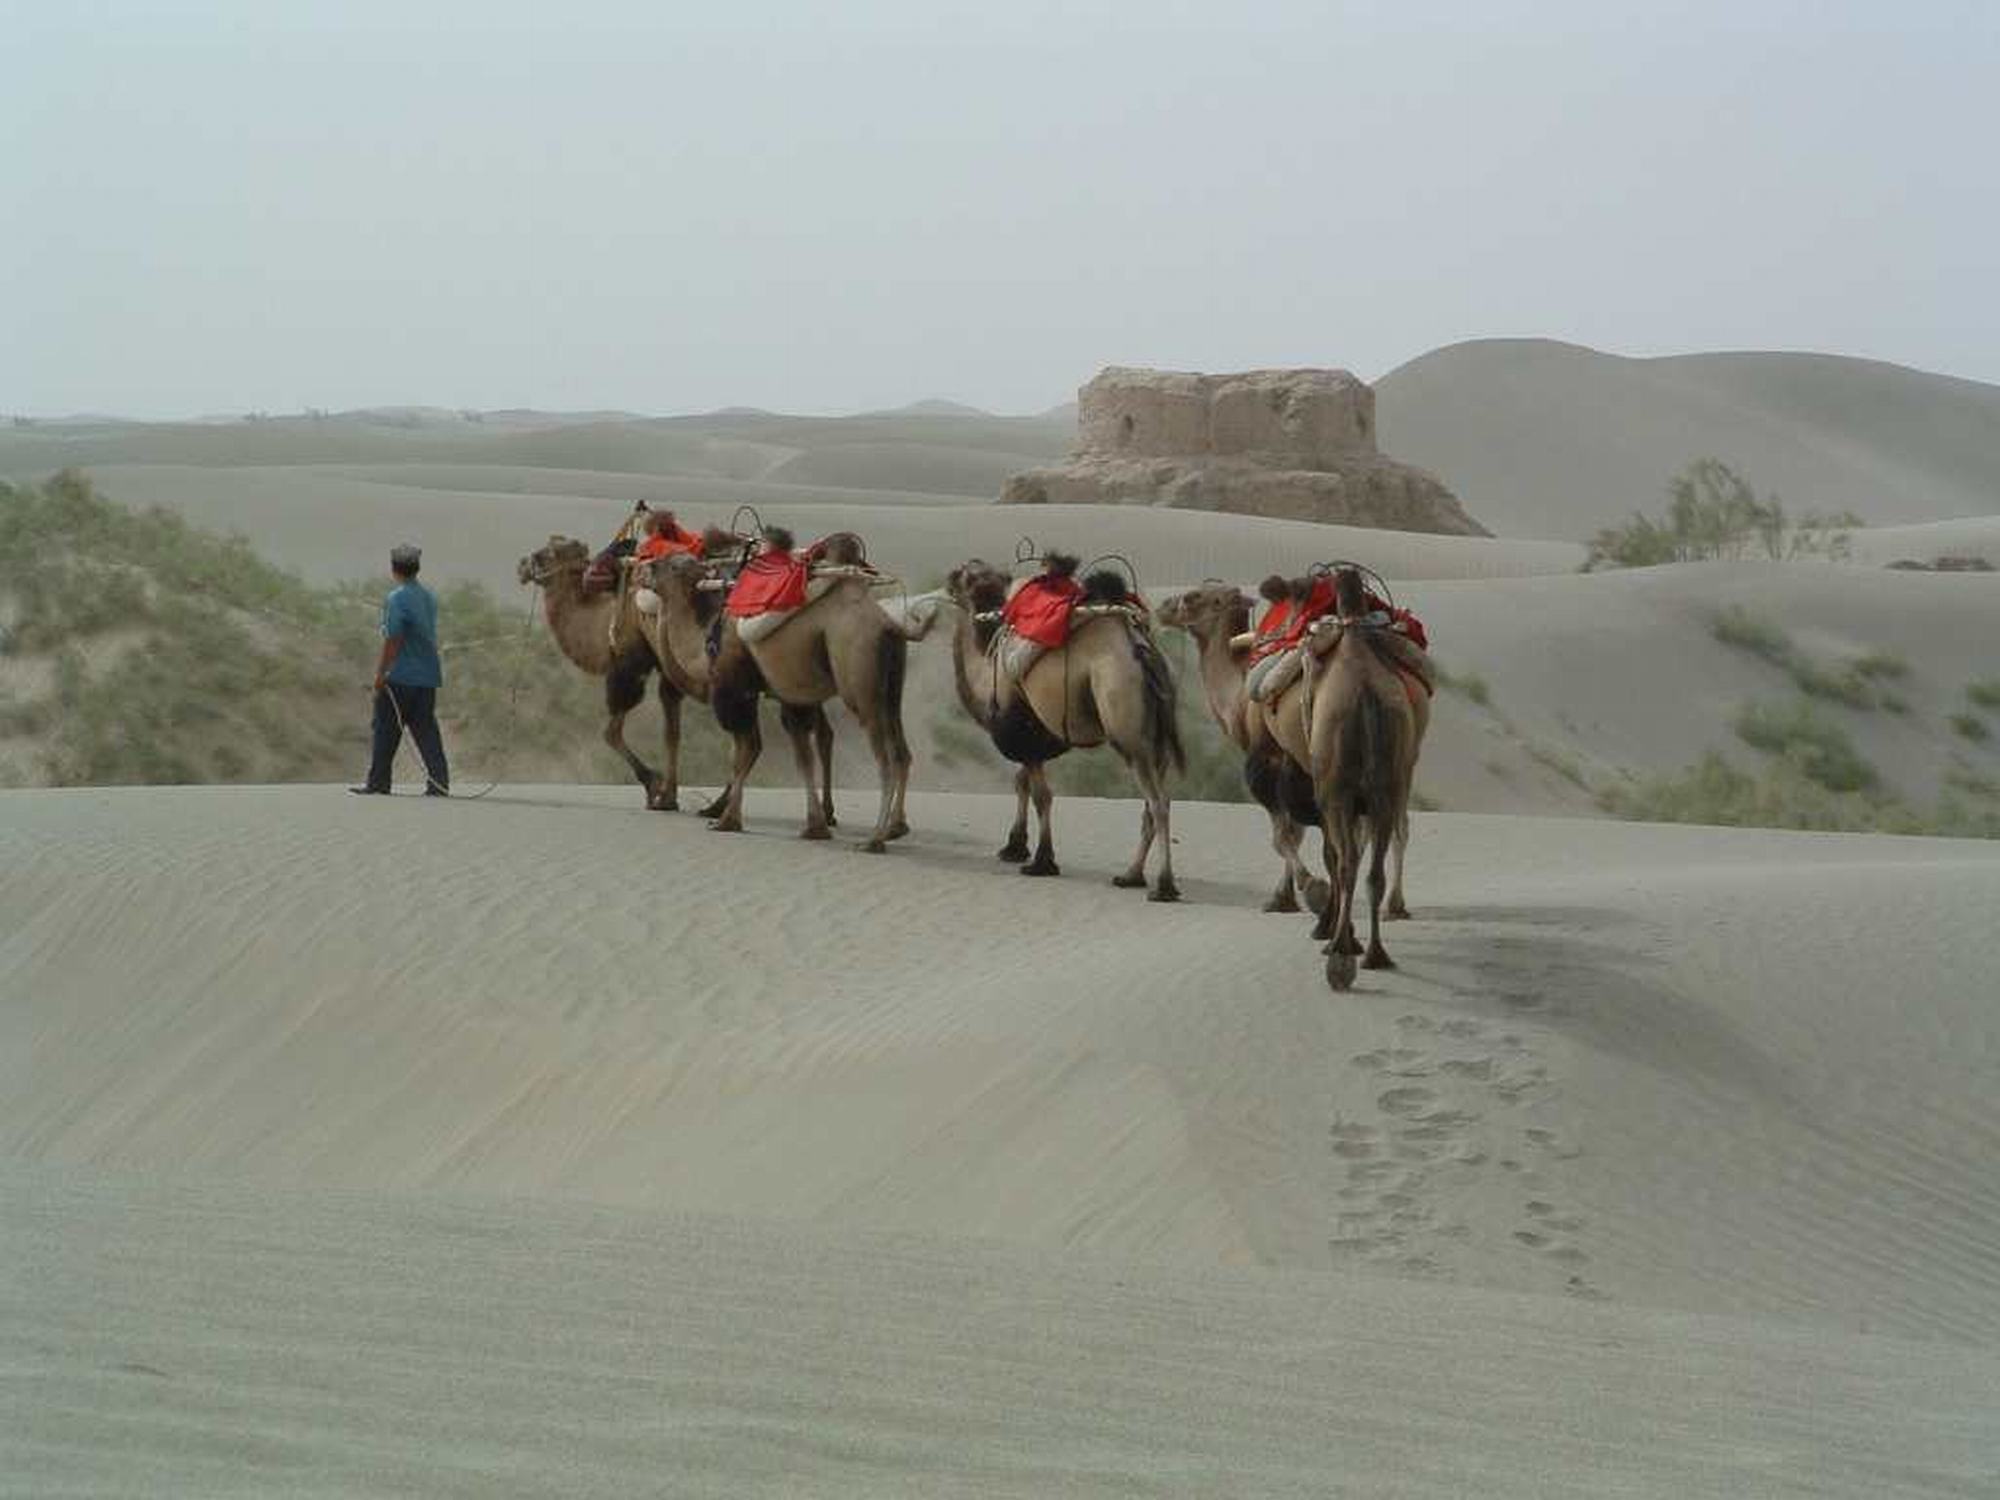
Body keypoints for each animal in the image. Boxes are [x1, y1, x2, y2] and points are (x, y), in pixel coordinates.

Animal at [516, 536, 688, 812]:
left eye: (545, 555)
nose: (521, 566)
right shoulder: (666, 669)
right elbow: (672, 731)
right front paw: (667, 797)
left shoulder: (629, 665)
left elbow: (611, 732)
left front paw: (653, 785)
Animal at [940, 560, 1176, 900]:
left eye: (966, 575)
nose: (948, 577)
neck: (987, 671)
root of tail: (1143, 652)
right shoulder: (1035, 738)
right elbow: (1022, 783)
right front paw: (1014, 847)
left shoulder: (1024, 732)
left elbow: (1042, 795)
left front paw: (1042, 861)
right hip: (1159, 742)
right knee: (1156, 802)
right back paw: (1131, 876)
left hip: (1127, 727)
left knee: (1157, 803)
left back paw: (1163, 886)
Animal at [1160, 584, 1328, 916]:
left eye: (1192, 596)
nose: (1162, 608)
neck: (1237, 697)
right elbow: (1295, 830)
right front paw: (1285, 898)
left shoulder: (1266, 759)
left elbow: (1283, 834)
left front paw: (1303, 889)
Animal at [1296, 568, 1424, 992]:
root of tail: (1366, 701)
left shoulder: (1328, 792)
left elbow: (1334, 854)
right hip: (1387, 789)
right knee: (1374, 871)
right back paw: (1376, 954)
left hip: (1338, 791)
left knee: (1348, 861)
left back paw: (1340, 955)